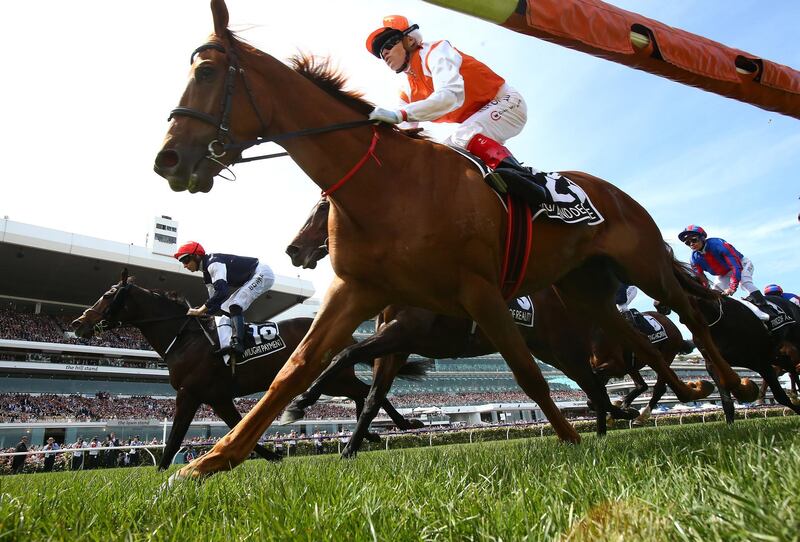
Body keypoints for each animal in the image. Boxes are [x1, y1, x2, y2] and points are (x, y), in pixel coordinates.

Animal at [69, 276, 418, 472]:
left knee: (366, 390)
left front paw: (161, 476)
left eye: (107, 295)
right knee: (364, 390)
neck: (185, 339)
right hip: (334, 379)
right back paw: (375, 431)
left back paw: (398, 425)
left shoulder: (189, 394)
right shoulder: (217, 398)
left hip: (332, 378)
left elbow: (176, 437)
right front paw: (269, 456)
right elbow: (237, 426)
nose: (77, 323)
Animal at [155, 1, 756, 480]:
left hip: (642, 264)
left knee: (689, 317)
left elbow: (527, 375)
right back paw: (689, 393)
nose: (169, 160)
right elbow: (297, 368)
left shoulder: (476, 291)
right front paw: (211, 461)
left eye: (205, 71)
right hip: (584, 290)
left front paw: (571, 438)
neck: (387, 186)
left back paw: (735, 387)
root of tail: (613, 192)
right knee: (641, 345)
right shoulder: (360, 293)